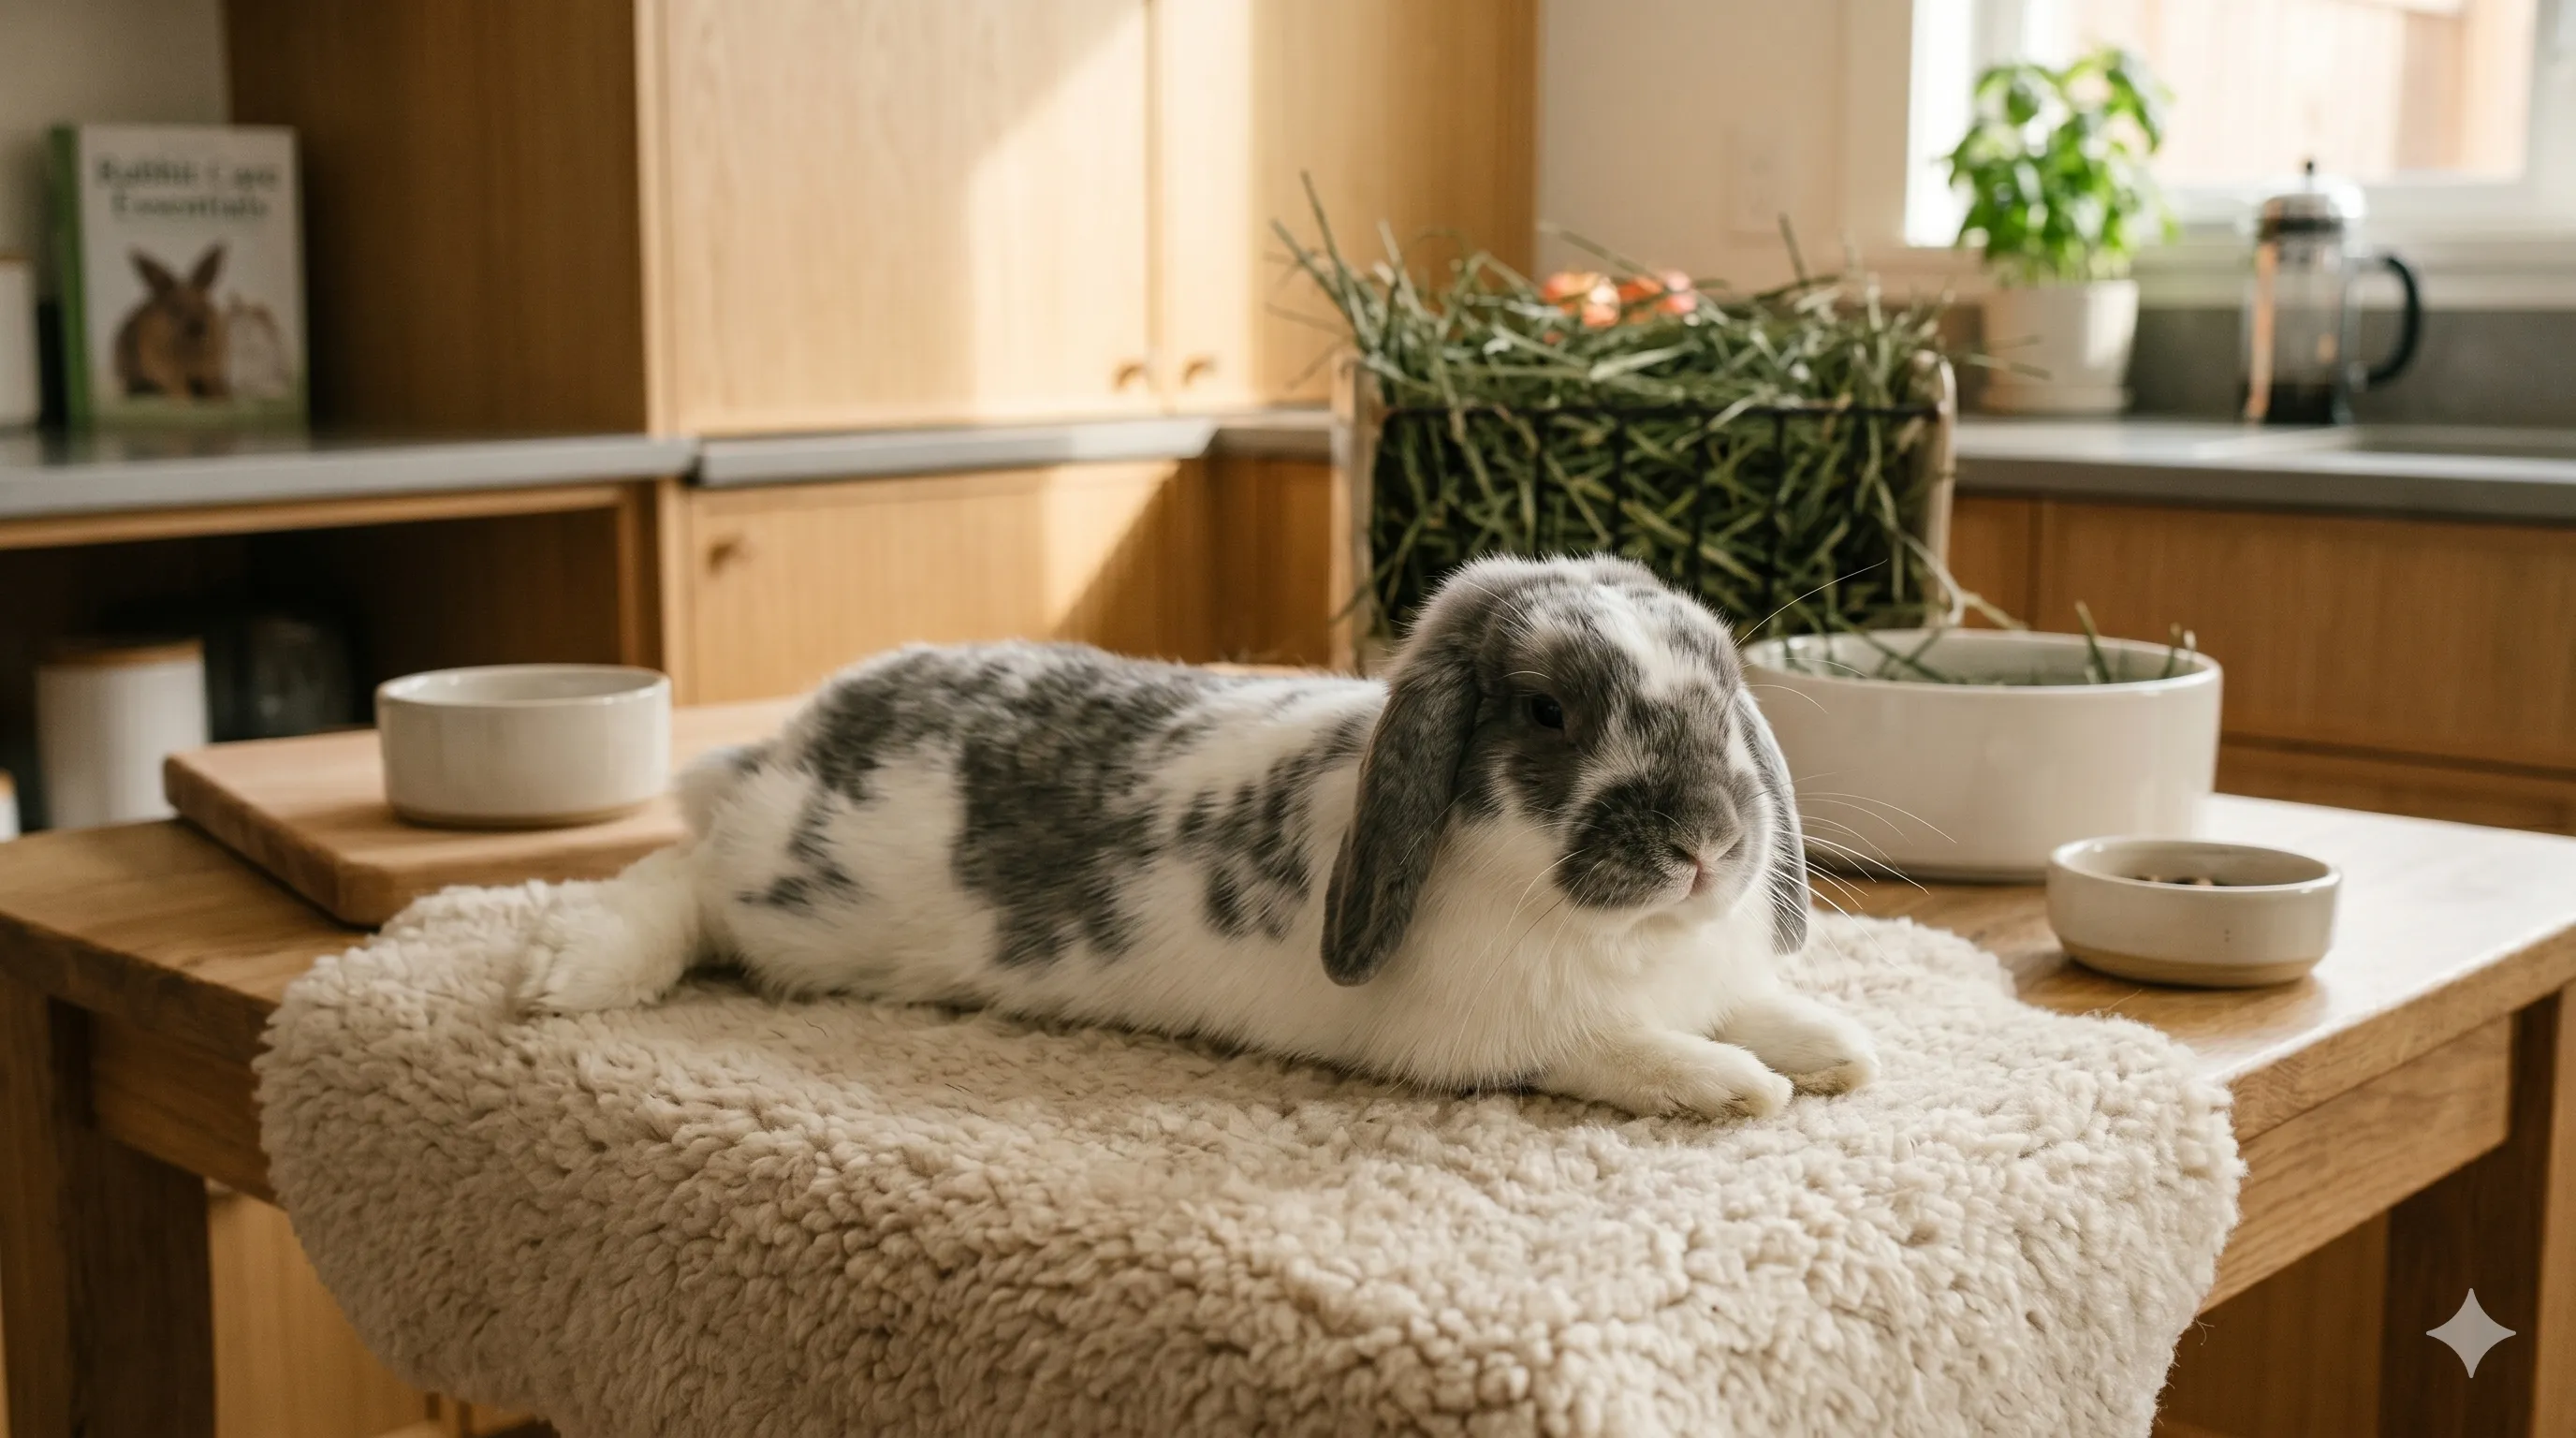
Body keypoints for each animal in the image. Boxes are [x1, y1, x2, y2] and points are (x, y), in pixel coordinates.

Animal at [114, 245, 230, 399]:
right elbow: (177, 384)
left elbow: (213, 383)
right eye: (175, 309)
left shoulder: (211, 368)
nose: (197, 329)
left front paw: (221, 396)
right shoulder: (164, 370)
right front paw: (183, 398)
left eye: (205, 306)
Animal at [519, 555, 1877, 1119]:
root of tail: (797, 740)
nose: (1707, 841)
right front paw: (1739, 1088)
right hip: (793, 901)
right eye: (1548, 712)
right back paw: (566, 976)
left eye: (1724, 691)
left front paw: (1837, 1051)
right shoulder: (1503, 1039)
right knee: (679, 875)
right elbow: (1627, 1051)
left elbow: (1754, 1007)